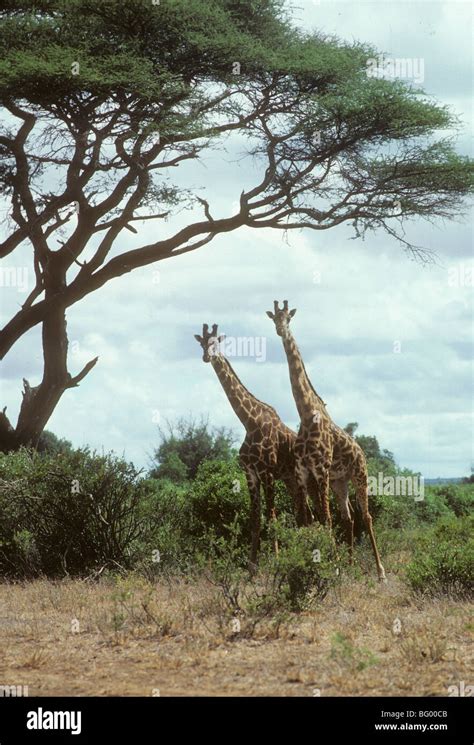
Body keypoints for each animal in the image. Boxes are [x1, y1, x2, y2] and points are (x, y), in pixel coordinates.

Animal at [193, 324, 298, 564]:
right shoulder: (250, 473)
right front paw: (252, 566)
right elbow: (255, 518)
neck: (249, 422)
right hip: (291, 480)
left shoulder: (267, 472)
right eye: (202, 343)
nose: (206, 357)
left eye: (215, 343)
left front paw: (276, 560)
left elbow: (272, 516)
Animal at [266, 300, 386, 580]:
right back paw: (352, 564)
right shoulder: (303, 473)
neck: (307, 414)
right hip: (339, 482)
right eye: (273, 318)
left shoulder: (320, 471)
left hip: (359, 475)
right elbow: (310, 519)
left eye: (288, 318)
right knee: (348, 516)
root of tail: (361, 451)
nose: (280, 330)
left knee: (366, 516)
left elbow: (325, 518)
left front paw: (333, 565)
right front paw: (316, 560)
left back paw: (380, 571)